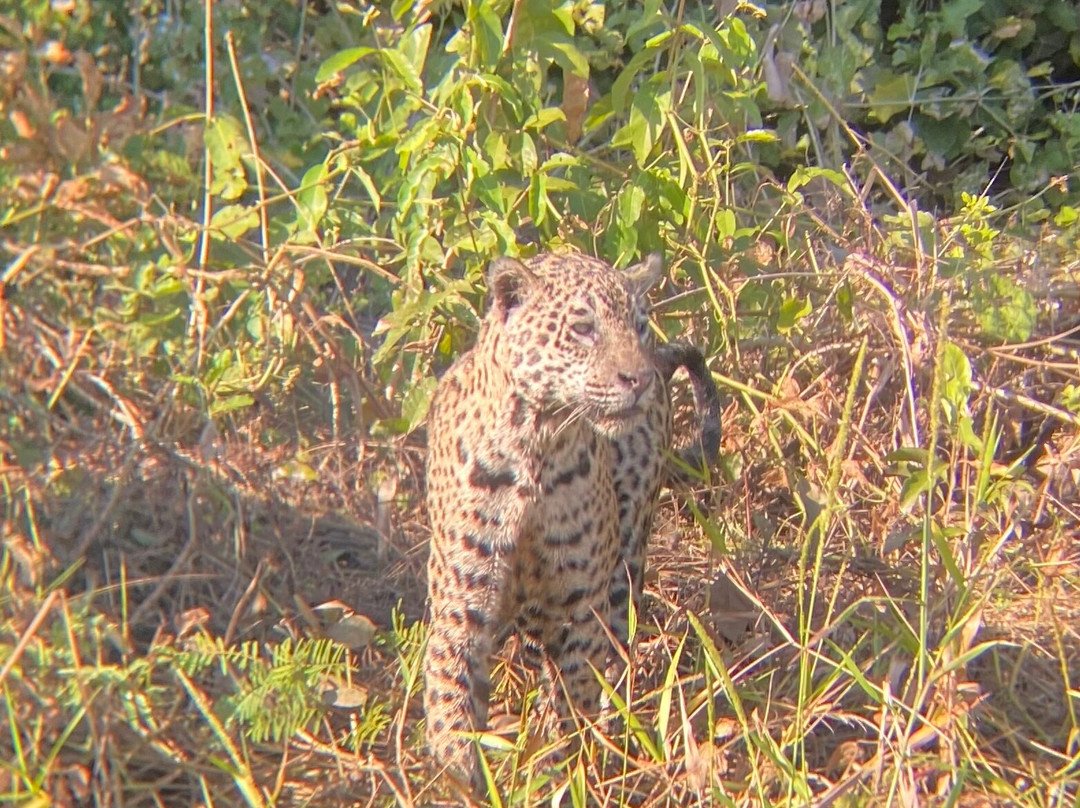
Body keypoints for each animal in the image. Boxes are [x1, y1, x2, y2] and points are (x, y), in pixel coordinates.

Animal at [422, 251, 720, 788]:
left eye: (639, 326)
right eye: (583, 328)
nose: (639, 379)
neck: (537, 447)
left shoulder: (579, 605)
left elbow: (575, 694)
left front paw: (566, 769)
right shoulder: (462, 600)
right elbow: (450, 694)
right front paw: (460, 773)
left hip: (625, 562)